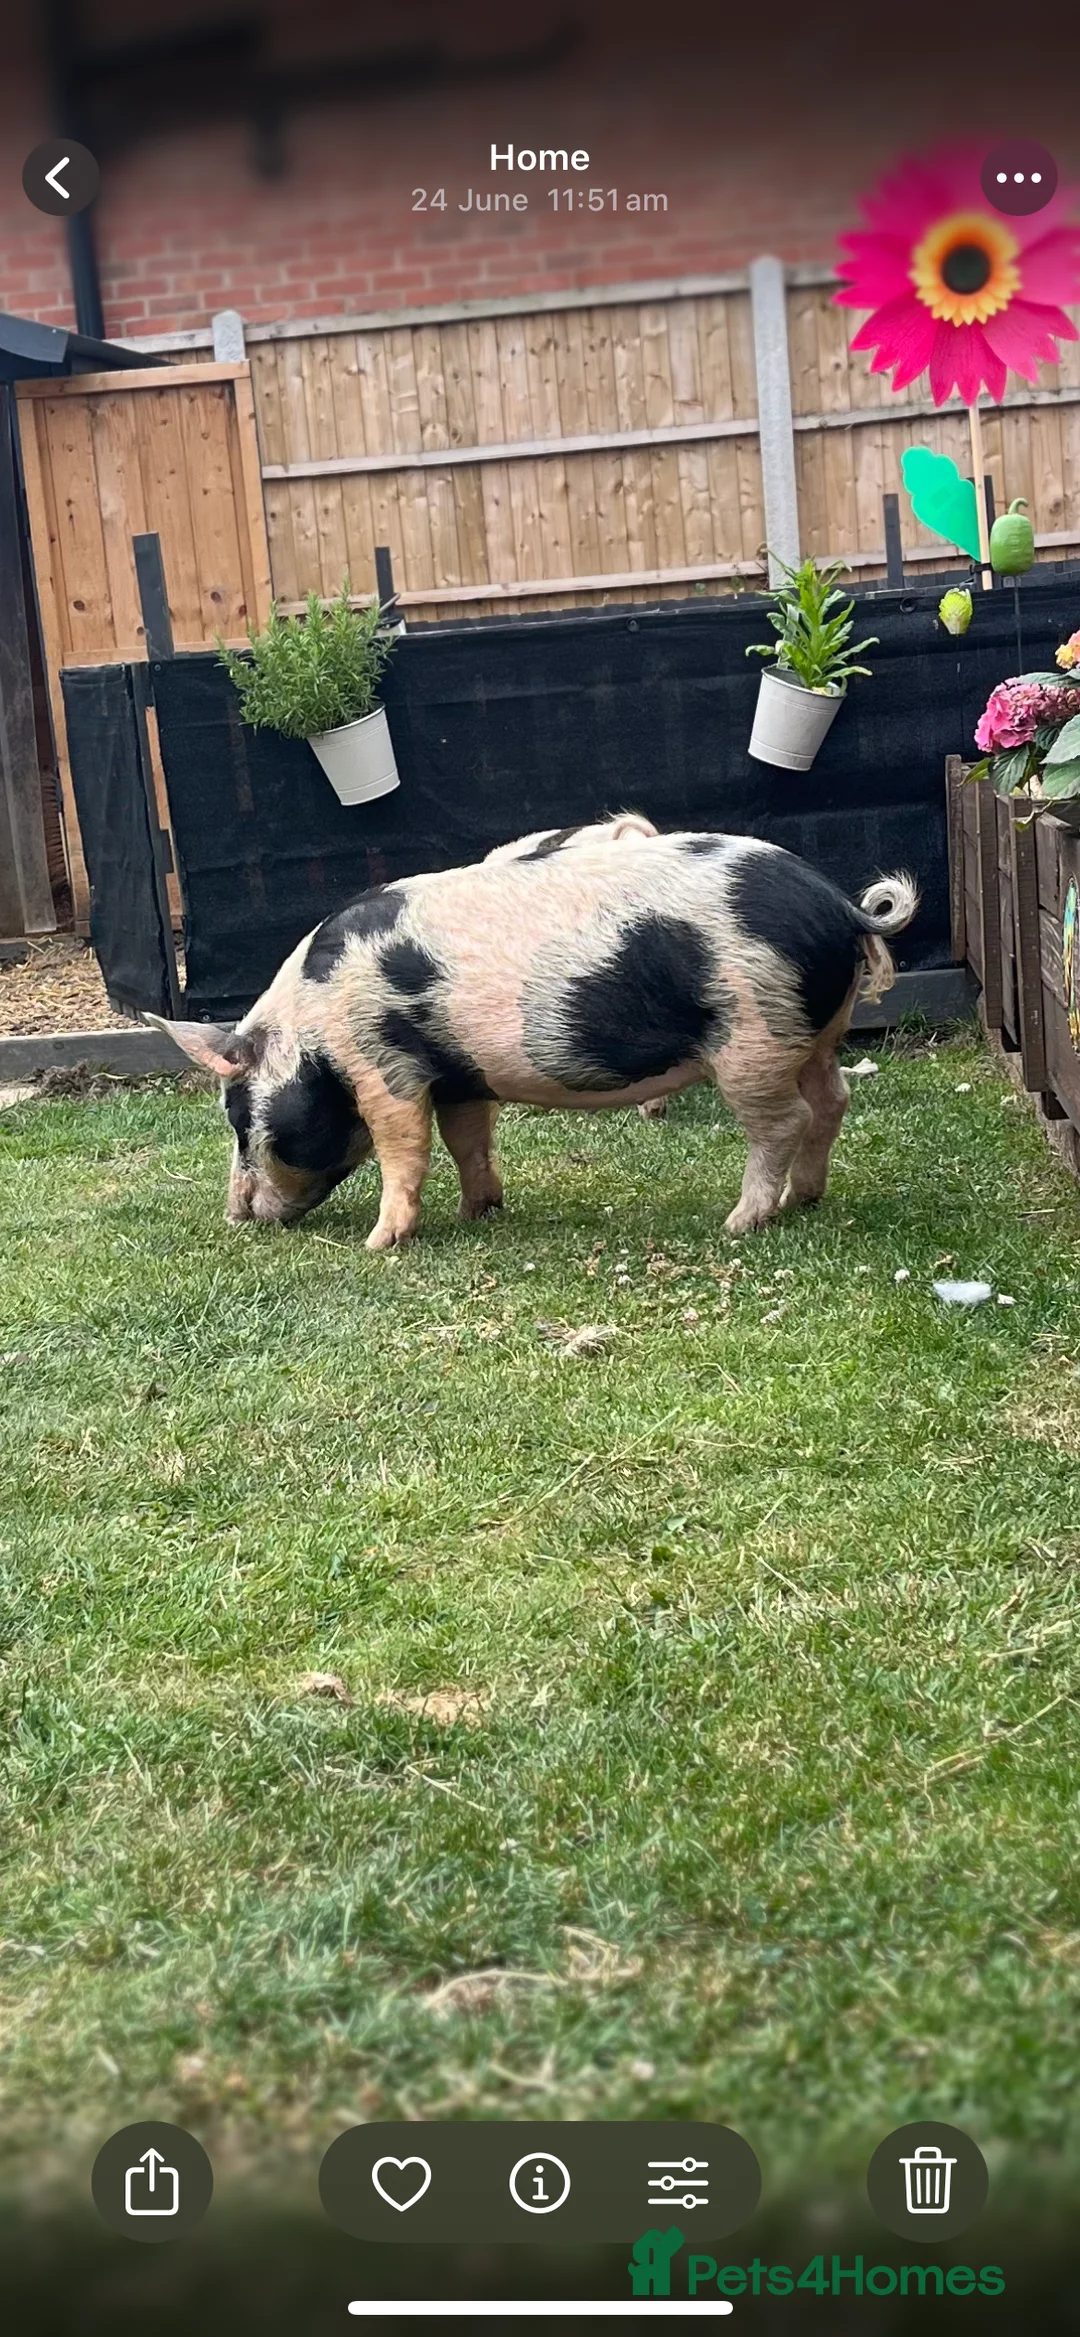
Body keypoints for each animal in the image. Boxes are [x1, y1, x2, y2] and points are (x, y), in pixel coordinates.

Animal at [151, 822, 917, 1246]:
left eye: (239, 1120)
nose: (236, 1215)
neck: (312, 1024)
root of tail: (841, 905)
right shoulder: (460, 1075)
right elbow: (467, 1140)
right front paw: (478, 1213)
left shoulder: (383, 1065)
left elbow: (403, 1149)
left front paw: (379, 1242)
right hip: (815, 1034)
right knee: (833, 1100)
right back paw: (801, 1200)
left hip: (754, 1036)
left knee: (785, 1121)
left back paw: (739, 1222)